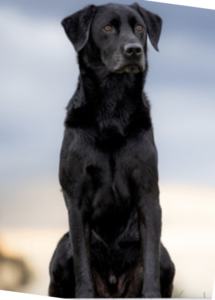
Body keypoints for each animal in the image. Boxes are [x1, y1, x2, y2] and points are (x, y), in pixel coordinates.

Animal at [48, 2, 175, 298]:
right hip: (61, 252)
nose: (134, 50)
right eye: (107, 27)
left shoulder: (148, 195)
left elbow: (150, 262)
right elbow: (83, 266)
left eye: (139, 27)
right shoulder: (77, 200)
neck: (112, 108)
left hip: (167, 258)